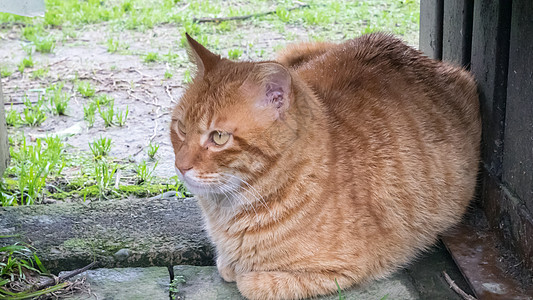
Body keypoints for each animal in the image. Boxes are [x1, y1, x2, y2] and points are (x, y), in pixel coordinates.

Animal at [171, 32, 482, 298]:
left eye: (218, 137)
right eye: (180, 128)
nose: (180, 166)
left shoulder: (343, 270)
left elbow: (253, 284)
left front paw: (242, 272)